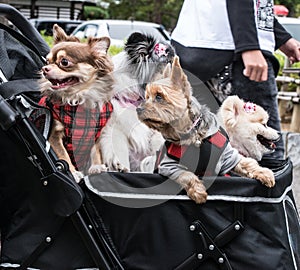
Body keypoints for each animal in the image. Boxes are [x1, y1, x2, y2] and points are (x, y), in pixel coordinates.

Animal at [38, 25, 113, 181]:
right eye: (47, 62)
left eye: (64, 62)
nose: (44, 69)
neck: (78, 98)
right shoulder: (54, 135)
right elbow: (63, 155)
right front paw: (73, 173)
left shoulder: (95, 133)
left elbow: (95, 151)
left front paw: (96, 166)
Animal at [137, 57, 276, 205]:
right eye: (147, 97)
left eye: (159, 96)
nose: (138, 109)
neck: (193, 134)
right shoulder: (168, 166)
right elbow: (186, 175)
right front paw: (198, 192)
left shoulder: (228, 157)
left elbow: (246, 163)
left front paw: (265, 173)